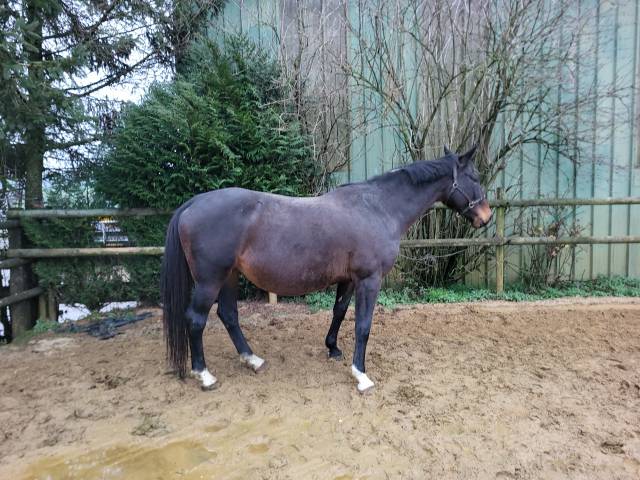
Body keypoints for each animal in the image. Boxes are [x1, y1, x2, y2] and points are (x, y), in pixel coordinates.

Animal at [161, 145, 492, 393]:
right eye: (474, 176)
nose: (486, 216)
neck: (378, 207)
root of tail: (193, 203)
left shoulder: (349, 279)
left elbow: (339, 312)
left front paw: (332, 349)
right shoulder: (369, 280)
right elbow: (363, 325)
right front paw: (361, 375)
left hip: (229, 276)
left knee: (228, 315)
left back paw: (252, 359)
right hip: (210, 280)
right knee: (196, 319)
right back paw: (204, 375)